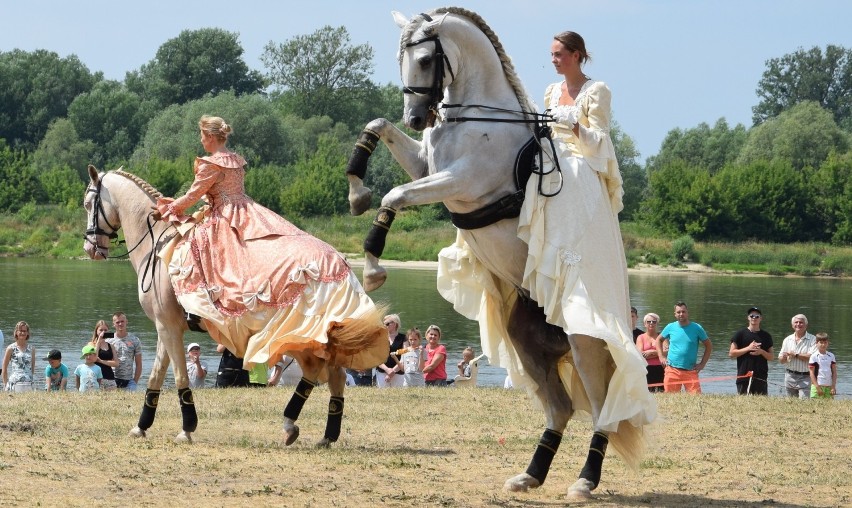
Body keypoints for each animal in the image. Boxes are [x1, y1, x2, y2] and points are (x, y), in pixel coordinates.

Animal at [81, 166, 388, 444]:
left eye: (87, 204)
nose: (90, 249)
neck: (158, 244)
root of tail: (340, 262)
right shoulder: (165, 327)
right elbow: (157, 375)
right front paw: (141, 426)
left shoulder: (168, 326)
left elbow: (180, 376)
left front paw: (187, 429)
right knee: (328, 373)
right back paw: (310, 432)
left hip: (297, 333)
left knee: (326, 372)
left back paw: (304, 428)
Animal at [346, 6, 652, 500]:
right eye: (400, 58)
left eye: (427, 59)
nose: (416, 117)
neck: (474, 119)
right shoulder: (426, 166)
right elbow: (375, 128)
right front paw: (357, 191)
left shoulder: (458, 181)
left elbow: (394, 195)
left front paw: (373, 265)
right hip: (527, 340)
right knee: (560, 407)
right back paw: (530, 475)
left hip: (586, 342)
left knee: (603, 408)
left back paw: (584, 481)